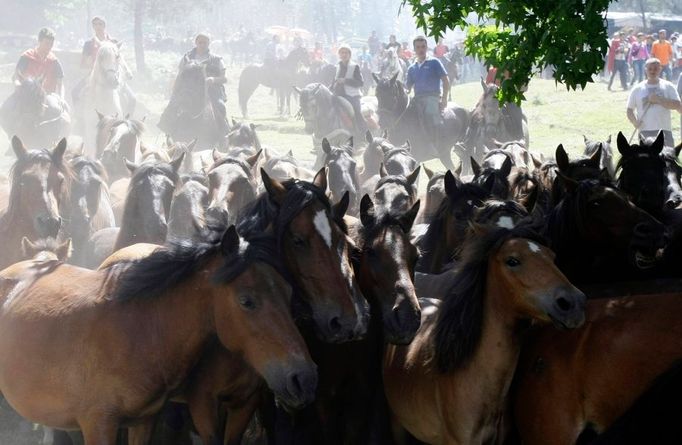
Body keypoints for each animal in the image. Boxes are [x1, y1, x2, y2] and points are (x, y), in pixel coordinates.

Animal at [0, 225, 316, 444]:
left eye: (289, 293)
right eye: (247, 300)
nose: (304, 376)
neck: (137, 327)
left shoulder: (144, 421)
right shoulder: (99, 424)